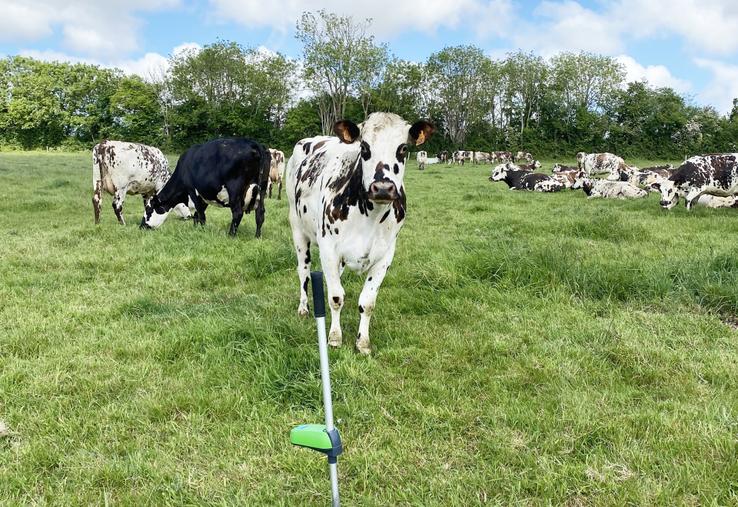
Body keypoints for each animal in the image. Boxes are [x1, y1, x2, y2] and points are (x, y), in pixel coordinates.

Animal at [140, 138, 270, 237]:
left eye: (149, 210)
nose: (141, 226)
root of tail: (253, 143)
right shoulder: (204, 195)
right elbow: (197, 214)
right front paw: (195, 228)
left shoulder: (193, 191)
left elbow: (200, 214)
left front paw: (202, 231)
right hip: (263, 188)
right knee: (260, 213)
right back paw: (257, 236)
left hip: (235, 189)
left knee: (237, 212)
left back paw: (230, 235)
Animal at [286, 113, 434, 354]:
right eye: (364, 147)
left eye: (403, 148)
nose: (382, 188)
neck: (369, 217)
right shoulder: (328, 250)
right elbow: (336, 297)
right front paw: (335, 337)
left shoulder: (385, 256)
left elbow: (368, 302)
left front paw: (363, 342)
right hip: (297, 228)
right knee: (303, 272)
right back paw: (303, 307)